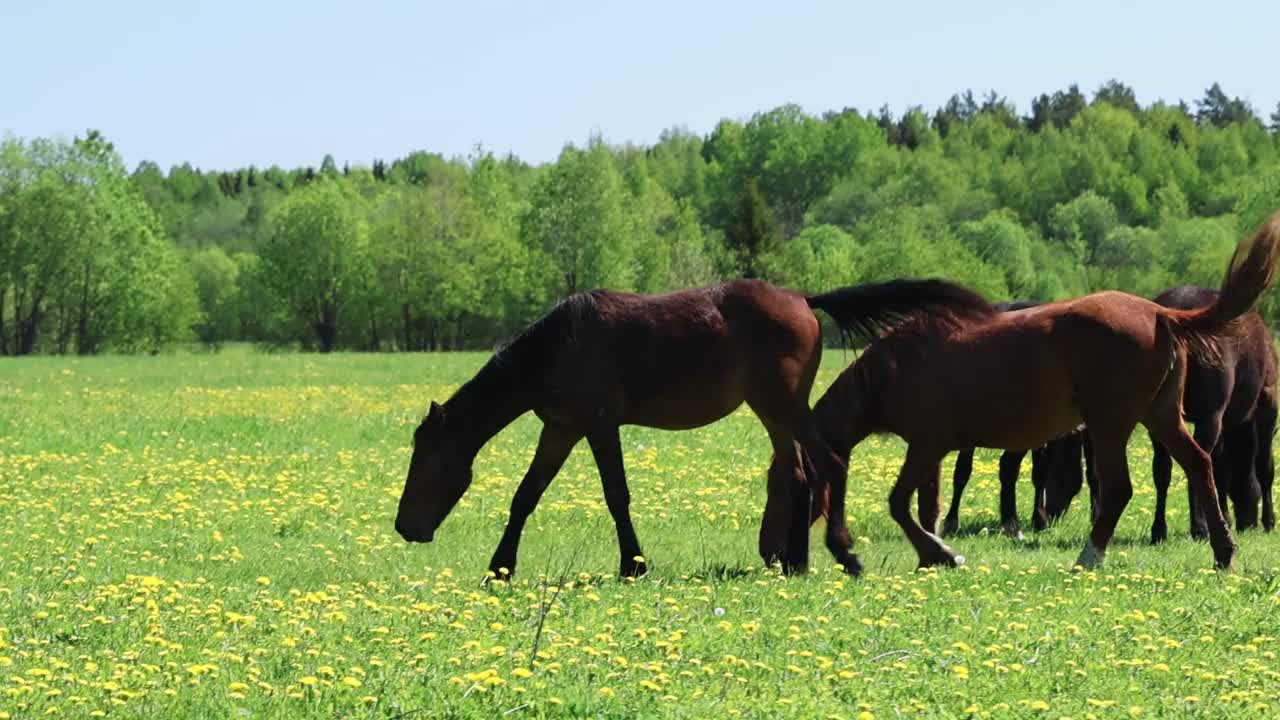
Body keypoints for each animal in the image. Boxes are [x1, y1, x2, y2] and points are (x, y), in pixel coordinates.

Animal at [394, 278, 993, 573]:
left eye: (425, 459)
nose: (405, 526)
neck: (557, 347)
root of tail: (802, 299)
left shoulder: (599, 425)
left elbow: (616, 496)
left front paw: (634, 564)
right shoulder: (560, 429)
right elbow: (526, 496)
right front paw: (500, 567)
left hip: (779, 403)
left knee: (825, 461)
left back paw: (844, 553)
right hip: (773, 410)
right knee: (800, 471)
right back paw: (795, 560)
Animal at [803, 210, 1274, 568]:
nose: (791, 555)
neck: (898, 364)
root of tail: (1161, 313)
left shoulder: (926, 445)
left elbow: (900, 503)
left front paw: (941, 553)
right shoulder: (931, 450)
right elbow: (926, 506)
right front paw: (933, 554)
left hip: (1110, 425)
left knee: (1119, 488)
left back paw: (1089, 556)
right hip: (1160, 418)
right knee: (1199, 465)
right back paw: (1223, 551)